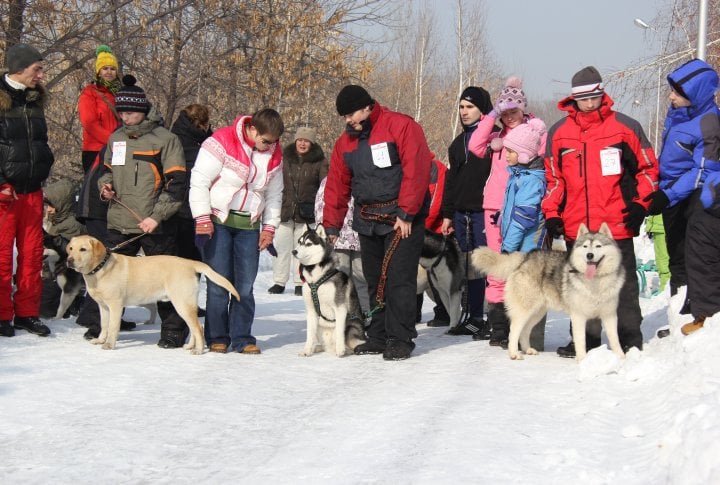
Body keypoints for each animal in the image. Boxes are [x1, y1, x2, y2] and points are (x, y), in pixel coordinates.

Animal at [65, 233, 239, 354]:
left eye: (83, 249)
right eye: (71, 248)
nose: (69, 260)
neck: (99, 268)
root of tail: (190, 263)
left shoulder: (115, 305)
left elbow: (113, 327)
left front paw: (109, 345)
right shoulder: (103, 306)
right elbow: (104, 325)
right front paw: (100, 340)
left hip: (182, 303)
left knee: (198, 328)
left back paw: (198, 350)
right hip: (182, 305)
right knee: (195, 327)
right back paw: (190, 346)